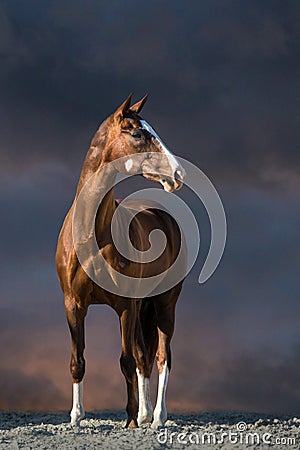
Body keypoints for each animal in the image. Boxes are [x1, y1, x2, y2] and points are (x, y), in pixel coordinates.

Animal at [56, 95, 186, 428]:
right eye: (138, 134)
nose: (178, 174)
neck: (91, 235)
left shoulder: (125, 306)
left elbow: (126, 361)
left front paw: (129, 421)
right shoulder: (73, 304)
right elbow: (77, 361)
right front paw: (76, 417)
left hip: (164, 304)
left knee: (162, 357)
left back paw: (157, 417)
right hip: (144, 307)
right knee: (144, 355)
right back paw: (145, 413)